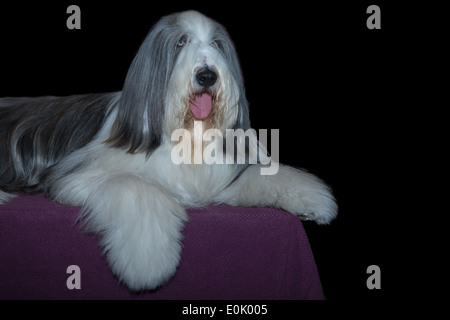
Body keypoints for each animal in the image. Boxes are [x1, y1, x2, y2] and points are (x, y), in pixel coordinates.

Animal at [0, 10, 338, 290]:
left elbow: (261, 174)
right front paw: (147, 261)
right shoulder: (76, 176)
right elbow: (133, 185)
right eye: (180, 42)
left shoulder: (219, 178)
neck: (187, 134)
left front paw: (314, 200)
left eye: (216, 43)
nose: (207, 75)